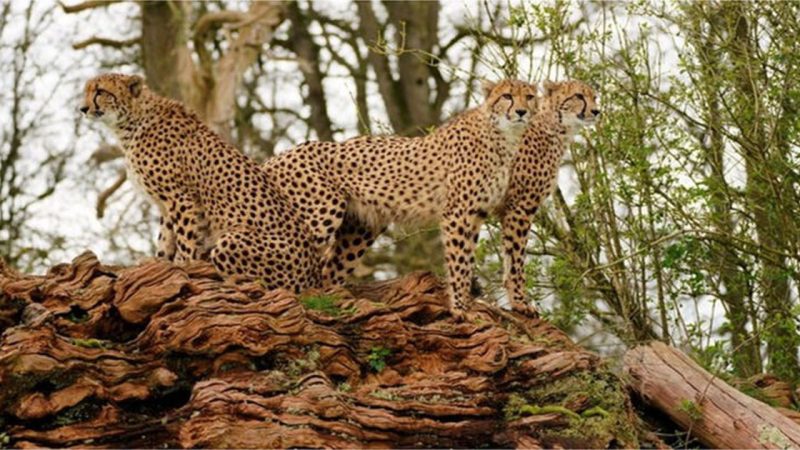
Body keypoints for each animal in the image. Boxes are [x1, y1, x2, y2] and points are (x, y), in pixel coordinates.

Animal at [79, 74, 320, 292]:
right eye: (87, 91)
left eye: (100, 91)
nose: (82, 109)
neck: (132, 122)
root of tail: (311, 274)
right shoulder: (166, 205)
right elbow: (165, 239)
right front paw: (161, 263)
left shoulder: (180, 197)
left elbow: (185, 240)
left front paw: (184, 267)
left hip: (231, 239)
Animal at [268, 79, 536, 318]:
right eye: (507, 96)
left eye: (530, 96)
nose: (522, 111)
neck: (502, 135)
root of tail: (279, 155)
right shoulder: (459, 212)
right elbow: (460, 261)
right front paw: (460, 307)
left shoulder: (481, 212)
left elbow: (505, 258)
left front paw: (519, 304)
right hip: (320, 214)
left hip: (359, 229)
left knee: (328, 269)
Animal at [496, 80, 596, 312]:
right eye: (579, 96)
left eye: (594, 97)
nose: (597, 111)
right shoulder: (520, 207)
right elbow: (516, 258)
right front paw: (520, 302)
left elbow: (508, 255)